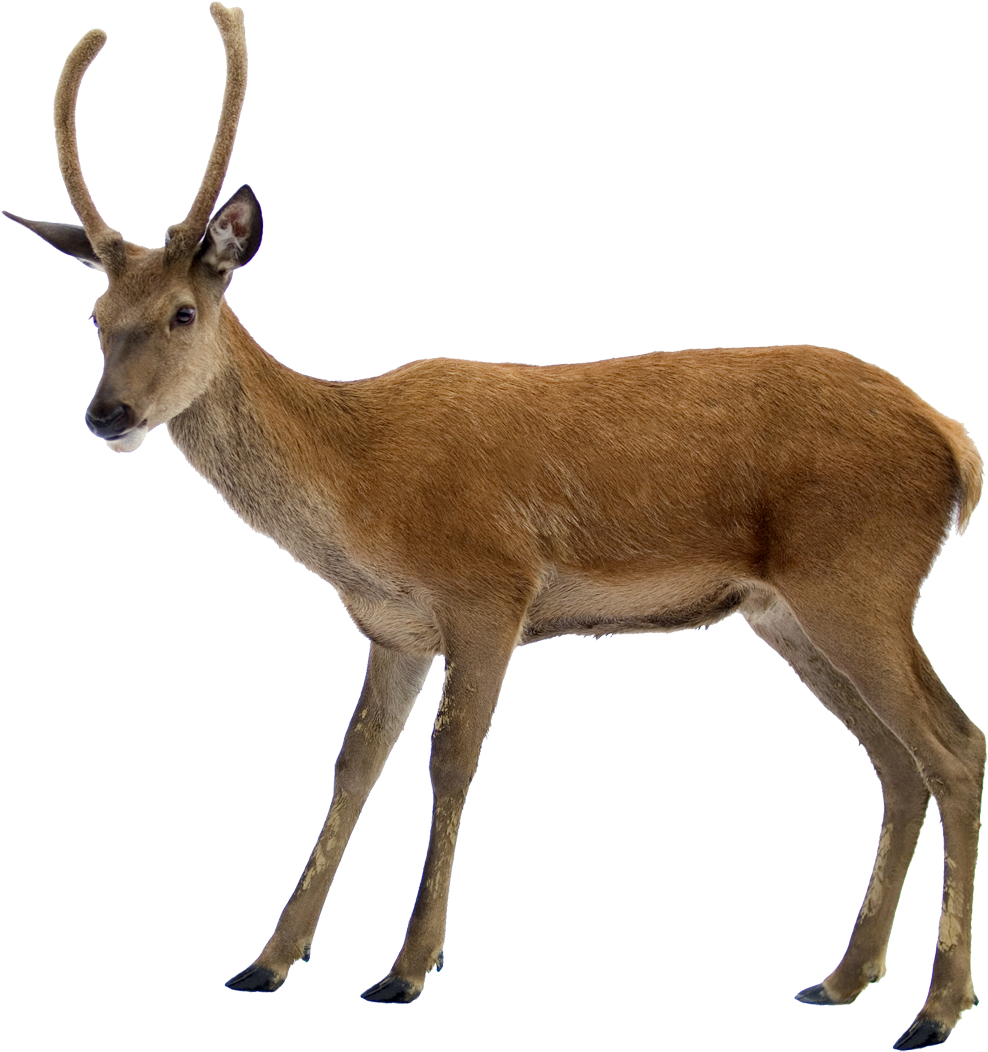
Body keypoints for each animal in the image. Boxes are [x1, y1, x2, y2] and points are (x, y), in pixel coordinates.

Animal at [3, 4, 983, 1046]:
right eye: (96, 316)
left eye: (184, 313)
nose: (106, 415)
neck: (359, 492)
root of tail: (956, 448)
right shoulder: (392, 626)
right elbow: (351, 765)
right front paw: (266, 961)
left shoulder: (488, 591)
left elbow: (451, 760)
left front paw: (405, 971)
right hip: (786, 613)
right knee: (897, 760)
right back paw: (842, 979)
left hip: (860, 579)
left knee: (954, 746)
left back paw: (936, 1008)